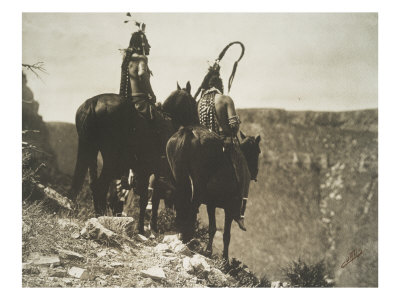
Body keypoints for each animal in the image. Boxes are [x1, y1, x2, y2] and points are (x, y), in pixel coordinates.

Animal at [70, 82, 198, 234]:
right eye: (193, 102)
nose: (197, 123)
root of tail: (93, 102)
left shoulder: (143, 172)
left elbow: (145, 197)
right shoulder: (153, 171)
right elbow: (150, 199)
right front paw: (146, 228)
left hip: (89, 150)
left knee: (88, 183)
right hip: (110, 159)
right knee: (100, 185)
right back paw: (101, 216)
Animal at [165, 125, 260, 258]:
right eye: (258, 151)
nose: (255, 173)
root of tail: (189, 131)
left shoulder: (211, 204)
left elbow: (212, 228)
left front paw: (208, 251)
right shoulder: (229, 208)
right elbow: (226, 235)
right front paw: (225, 259)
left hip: (179, 178)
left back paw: (183, 236)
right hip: (198, 187)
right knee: (191, 207)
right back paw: (189, 239)